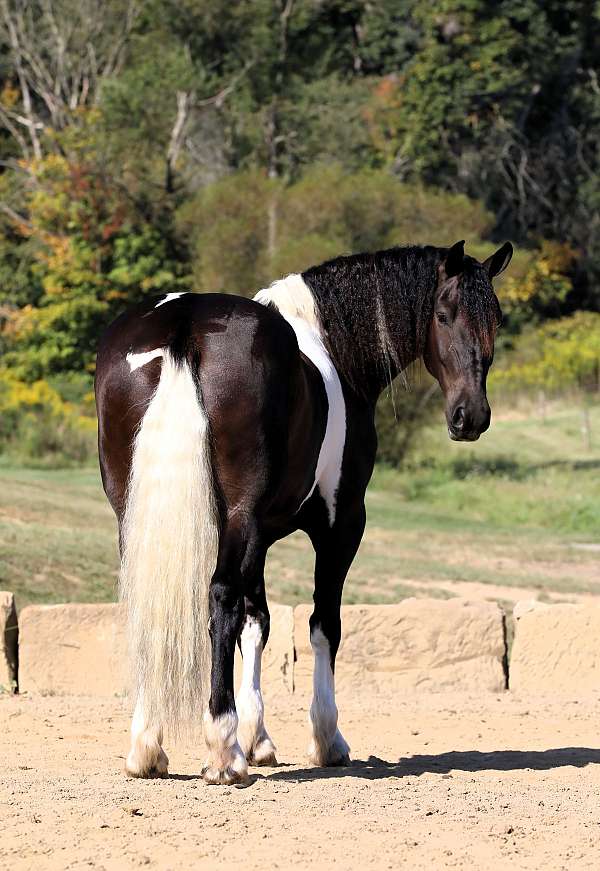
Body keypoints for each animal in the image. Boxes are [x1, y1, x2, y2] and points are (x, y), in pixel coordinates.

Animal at [92, 237, 510, 784]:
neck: (332, 346)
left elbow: (257, 622)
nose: (471, 417)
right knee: (220, 597)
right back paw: (222, 751)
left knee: (149, 599)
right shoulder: (340, 523)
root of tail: (184, 323)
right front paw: (325, 738)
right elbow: (322, 623)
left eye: (497, 319)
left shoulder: (260, 534)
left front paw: (259, 739)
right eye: (443, 314)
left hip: (134, 511)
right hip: (241, 514)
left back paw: (148, 747)